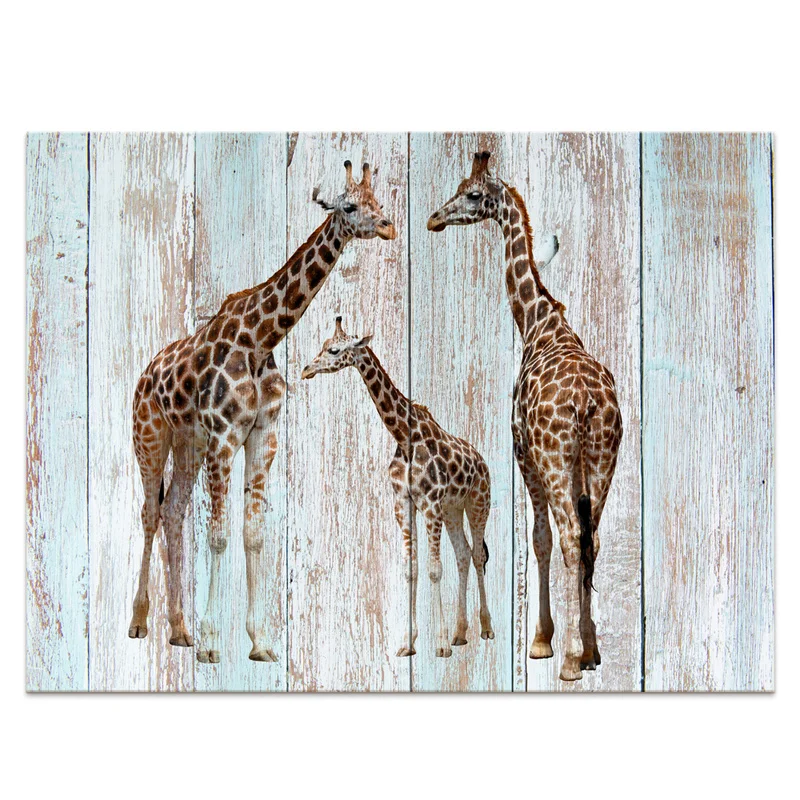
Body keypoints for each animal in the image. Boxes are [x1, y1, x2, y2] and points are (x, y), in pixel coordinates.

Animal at [129, 160, 395, 663]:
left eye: (380, 202)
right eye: (350, 206)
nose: (390, 226)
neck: (259, 340)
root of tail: (144, 375)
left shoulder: (261, 436)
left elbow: (253, 534)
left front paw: (262, 642)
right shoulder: (223, 437)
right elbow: (218, 534)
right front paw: (214, 643)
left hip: (188, 444)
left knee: (172, 512)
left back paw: (178, 630)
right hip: (150, 437)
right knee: (150, 512)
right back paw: (140, 622)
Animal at [301, 317, 494, 658]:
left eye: (334, 350)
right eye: (324, 344)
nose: (306, 369)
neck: (404, 436)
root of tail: (483, 462)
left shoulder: (430, 503)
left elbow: (433, 569)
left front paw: (439, 645)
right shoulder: (404, 503)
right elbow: (411, 569)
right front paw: (409, 641)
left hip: (478, 503)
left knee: (476, 555)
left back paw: (485, 629)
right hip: (453, 509)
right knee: (462, 554)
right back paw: (460, 634)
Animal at [427, 151, 623, 681]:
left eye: (472, 195)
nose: (434, 218)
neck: (539, 323)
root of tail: (587, 401)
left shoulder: (524, 453)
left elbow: (539, 539)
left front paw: (543, 641)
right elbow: (567, 541)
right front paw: (586, 647)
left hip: (556, 461)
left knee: (571, 538)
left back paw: (569, 661)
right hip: (603, 459)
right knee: (592, 539)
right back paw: (589, 652)